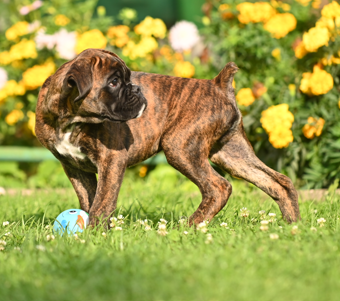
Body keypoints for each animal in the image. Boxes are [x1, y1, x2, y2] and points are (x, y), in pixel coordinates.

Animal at [35, 48, 300, 225]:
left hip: (180, 148)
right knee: (278, 182)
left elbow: (102, 201)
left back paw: (191, 226)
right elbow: (88, 199)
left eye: (125, 79)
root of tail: (217, 84)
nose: (137, 88)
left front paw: (94, 232)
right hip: (232, 154)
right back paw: (293, 226)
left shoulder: (112, 161)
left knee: (219, 187)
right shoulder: (74, 167)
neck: (73, 119)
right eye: (114, 82)